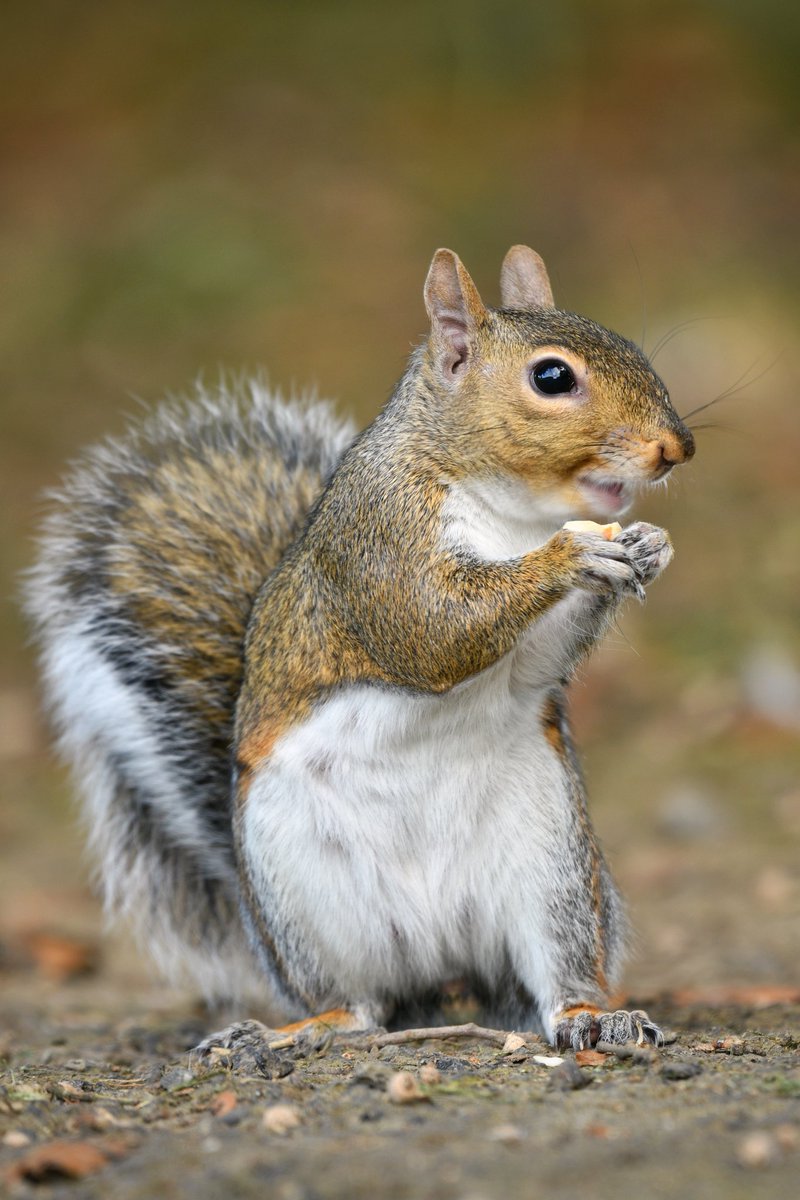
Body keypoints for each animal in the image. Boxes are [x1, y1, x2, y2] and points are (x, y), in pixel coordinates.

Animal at [26, 245, 695, 1051]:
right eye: (552, 378)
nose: (678, 448)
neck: (510, 512)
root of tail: (442, 955)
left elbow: (535, 663)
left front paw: (648, 547)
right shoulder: (379, 541)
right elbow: (435, 632)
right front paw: (571, 555)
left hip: (553, 867)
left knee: (550, 976)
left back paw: (596, 1016)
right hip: (304, 894)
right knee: (361, 1004)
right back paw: (290, 1032)